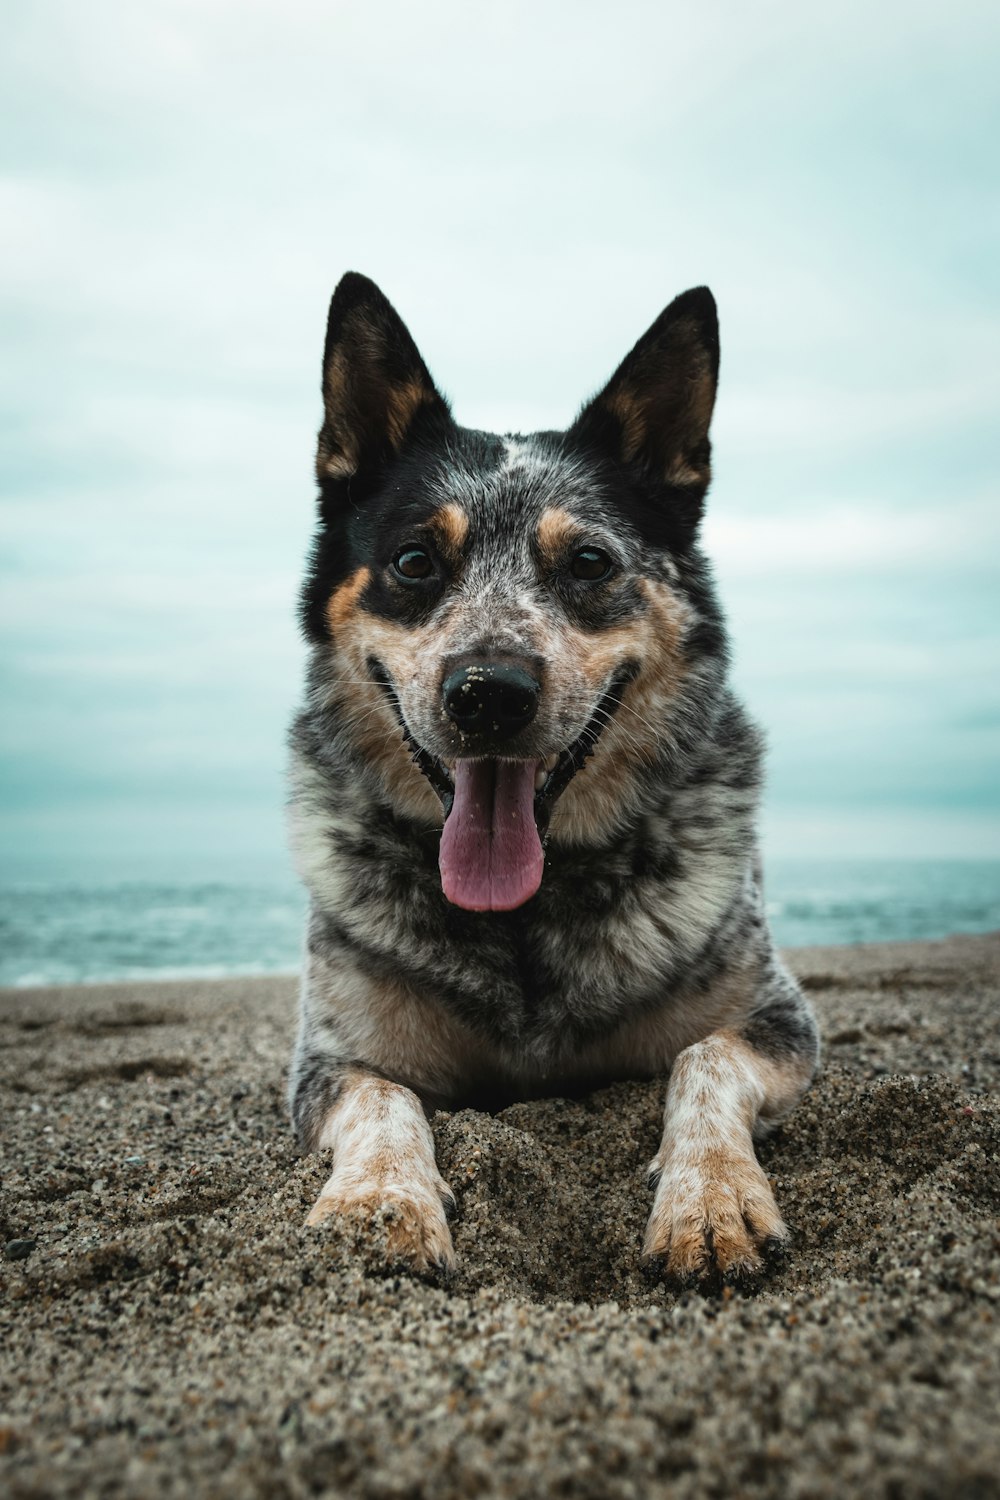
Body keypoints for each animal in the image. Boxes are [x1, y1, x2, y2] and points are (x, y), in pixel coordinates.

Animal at [284, 270, 815, 1278]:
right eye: (415, 560)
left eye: (590, 562)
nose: (489, 694)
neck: (524, 918)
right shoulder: (333, 1056)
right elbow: (385, 1099)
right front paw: (380, 1204)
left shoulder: (780, 1019)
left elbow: (703, 1059)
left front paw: (711, 1198)